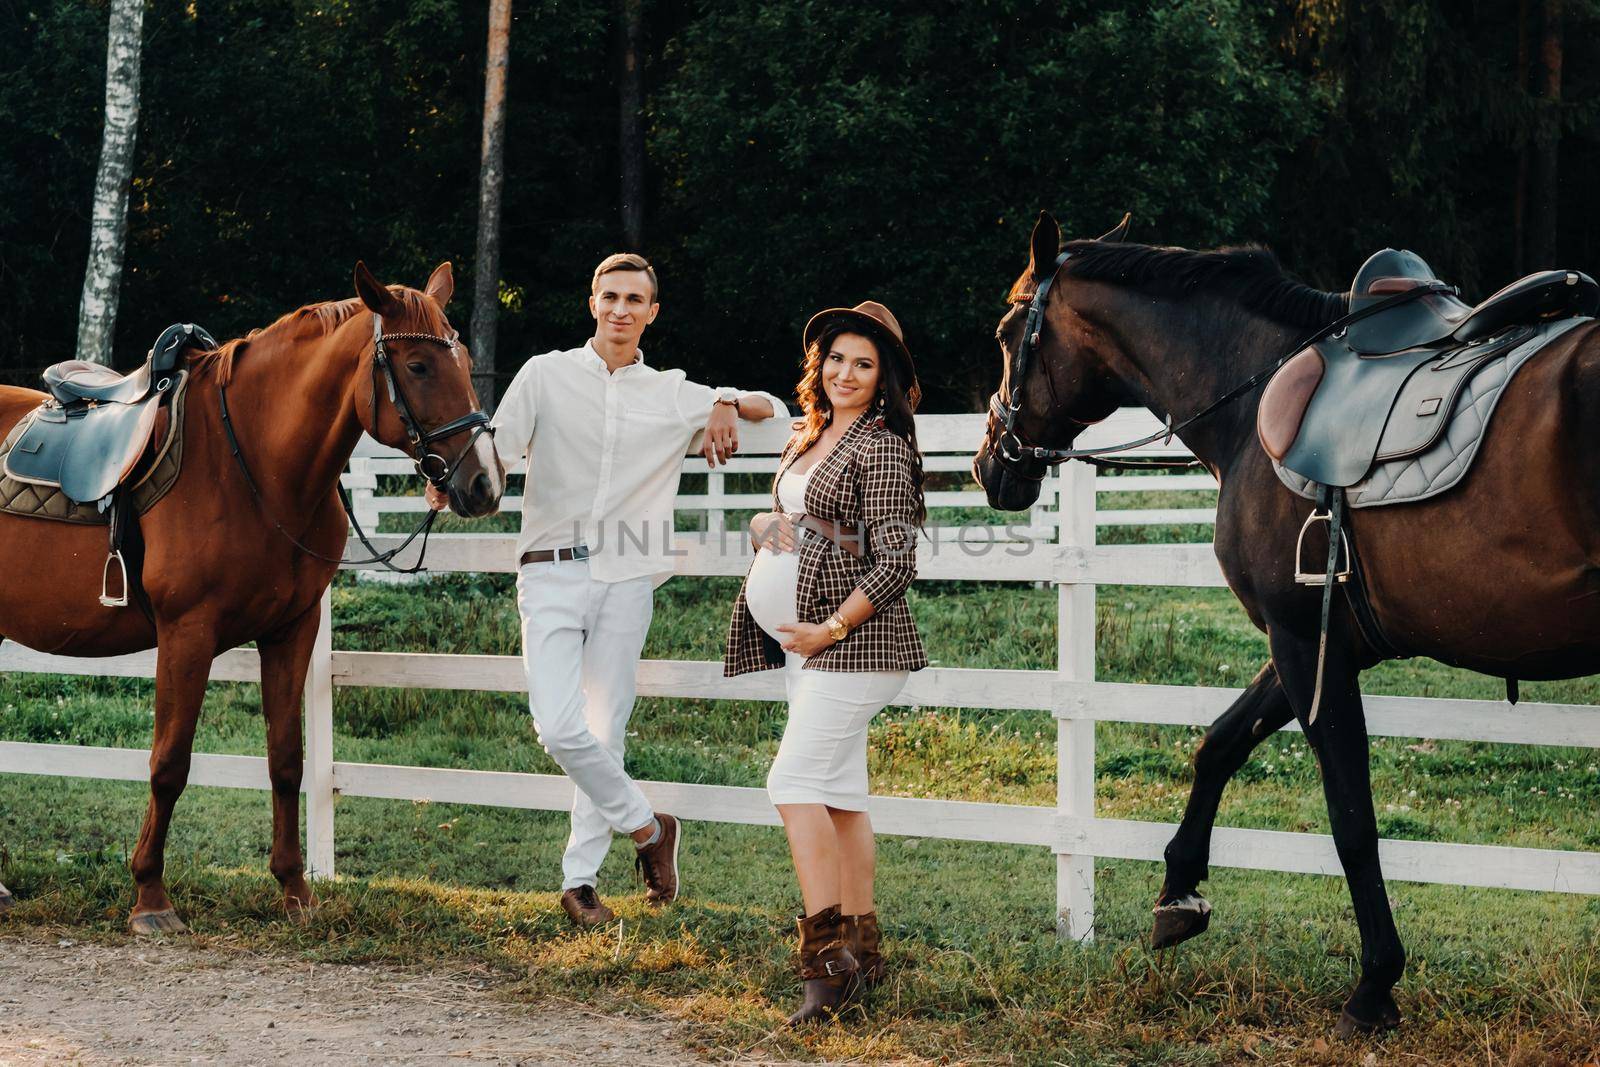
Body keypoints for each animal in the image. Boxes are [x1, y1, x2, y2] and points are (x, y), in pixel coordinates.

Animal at [0, 260, 499, 934]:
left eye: (463, 358)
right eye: (419, 366)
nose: (486, 483)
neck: (253, 465)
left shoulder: (292, 629)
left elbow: (287, 759)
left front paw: (295, 890)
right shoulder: (187, 634)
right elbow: (169, 763)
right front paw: (151, 897)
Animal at [966, 212, 1600, 1036]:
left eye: (1008, 331)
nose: (989, 464)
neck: (1253, 395)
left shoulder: (1304, 643)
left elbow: (1351, 817)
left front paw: (1375, 985)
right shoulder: (1319, 642)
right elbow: (1219, 744)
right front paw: (1179, 892)